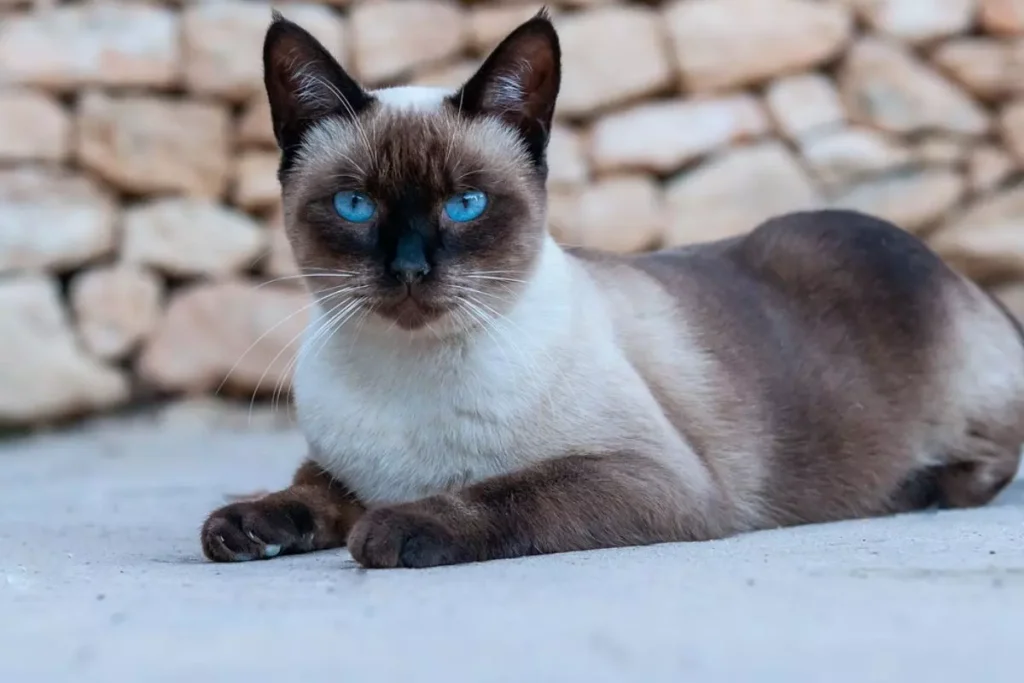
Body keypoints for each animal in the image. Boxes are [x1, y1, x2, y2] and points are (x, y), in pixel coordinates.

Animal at [199, 9, 1024, 573]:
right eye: (354, 206)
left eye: (465, 205)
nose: (408, 270)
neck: (406, 380)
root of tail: (947, 267)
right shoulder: (343, 467)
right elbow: (307, 490)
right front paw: (246, 526)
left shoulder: (646, 476)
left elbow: (506, 491)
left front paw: (393, 528)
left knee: (986, 466)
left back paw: (917, 488)